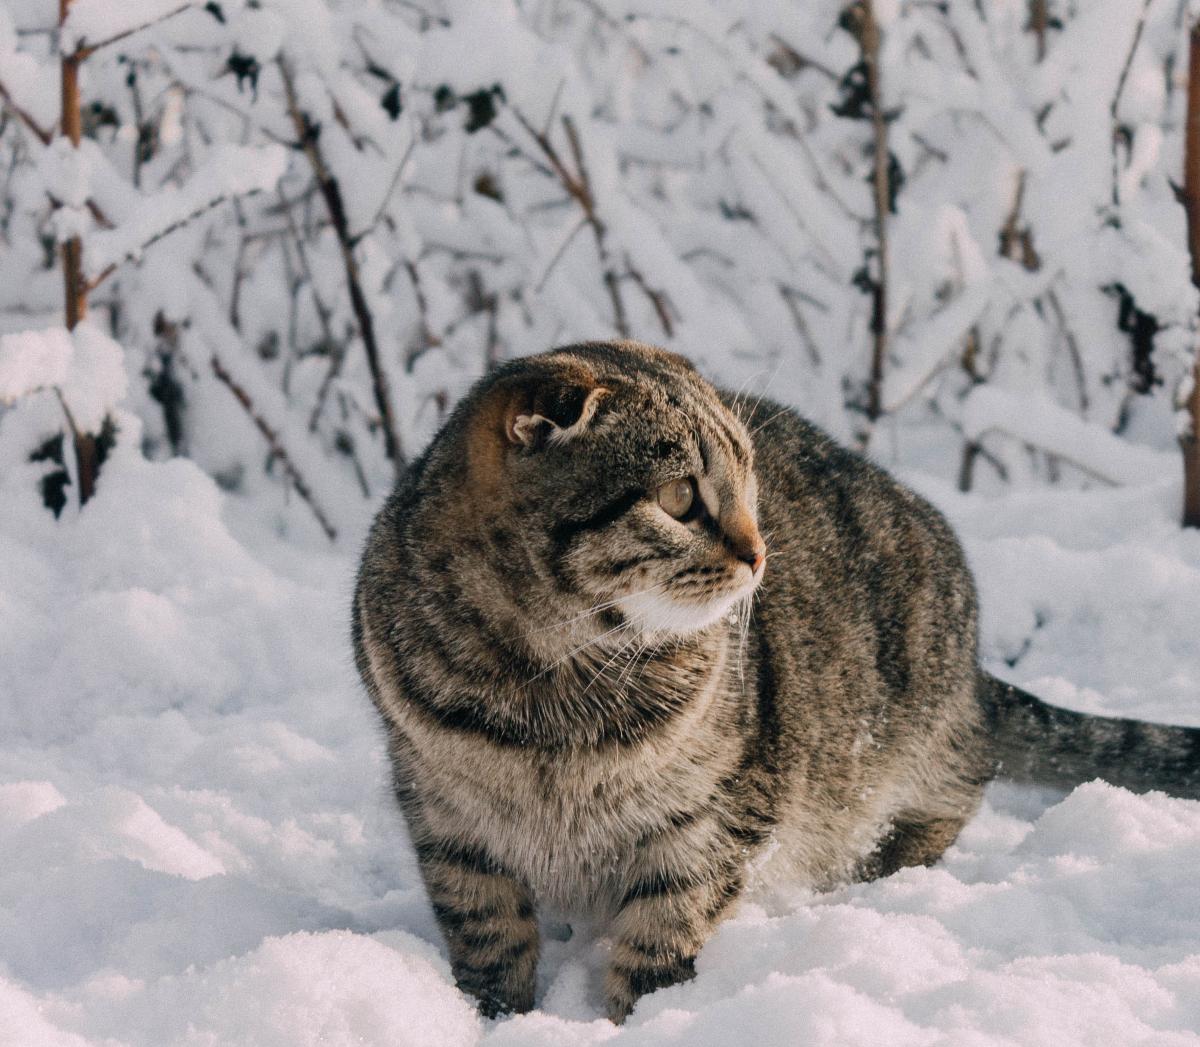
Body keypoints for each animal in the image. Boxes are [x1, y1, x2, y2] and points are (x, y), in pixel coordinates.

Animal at [352, 338, 1200, 1022]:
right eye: (678, 496)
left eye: (748, 477)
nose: (760, 552)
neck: (547, 685)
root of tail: (972, 667)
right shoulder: (448, 820)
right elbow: (486, 936)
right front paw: (493, 1018)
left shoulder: (720, 812)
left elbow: (665, 930)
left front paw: (643, 1020)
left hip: (916, 728)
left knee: (958, 783)